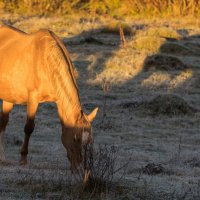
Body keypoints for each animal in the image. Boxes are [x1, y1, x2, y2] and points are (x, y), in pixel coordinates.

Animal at [0, 24, 97, 170]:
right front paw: (23, 159)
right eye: (75, 138)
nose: (78, 167)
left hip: (8, 97)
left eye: (88, 141)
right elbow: (29, 128)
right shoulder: (33, 100)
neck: (45, 61)